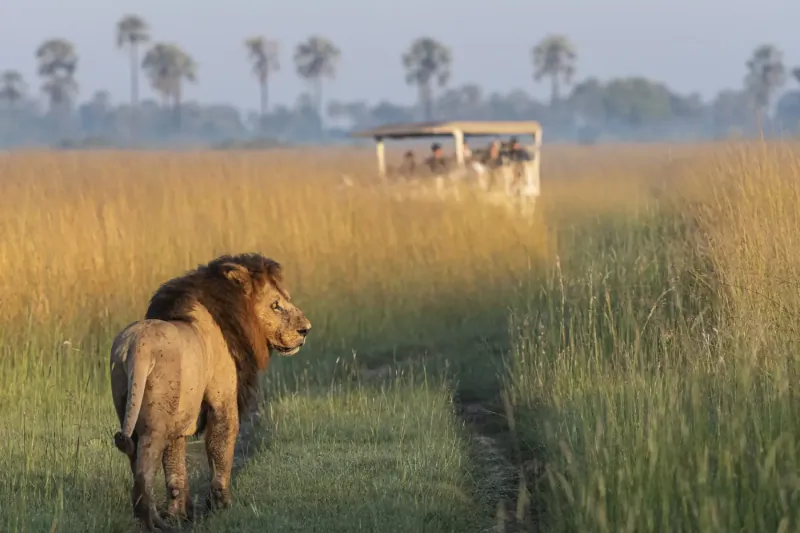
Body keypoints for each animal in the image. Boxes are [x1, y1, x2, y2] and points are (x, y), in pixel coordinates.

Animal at [109, 253, 311, 531]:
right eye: (276, 305)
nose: (306, 329)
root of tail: (135, 347)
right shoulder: (222, 400)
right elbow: (220, 449)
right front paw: (221, 506)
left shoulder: (180, 420)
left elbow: (175, 470)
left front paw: (182, 514)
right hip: (155, 423)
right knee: (143, 471)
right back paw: (153, 522)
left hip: (128, 405)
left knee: (135, 459)